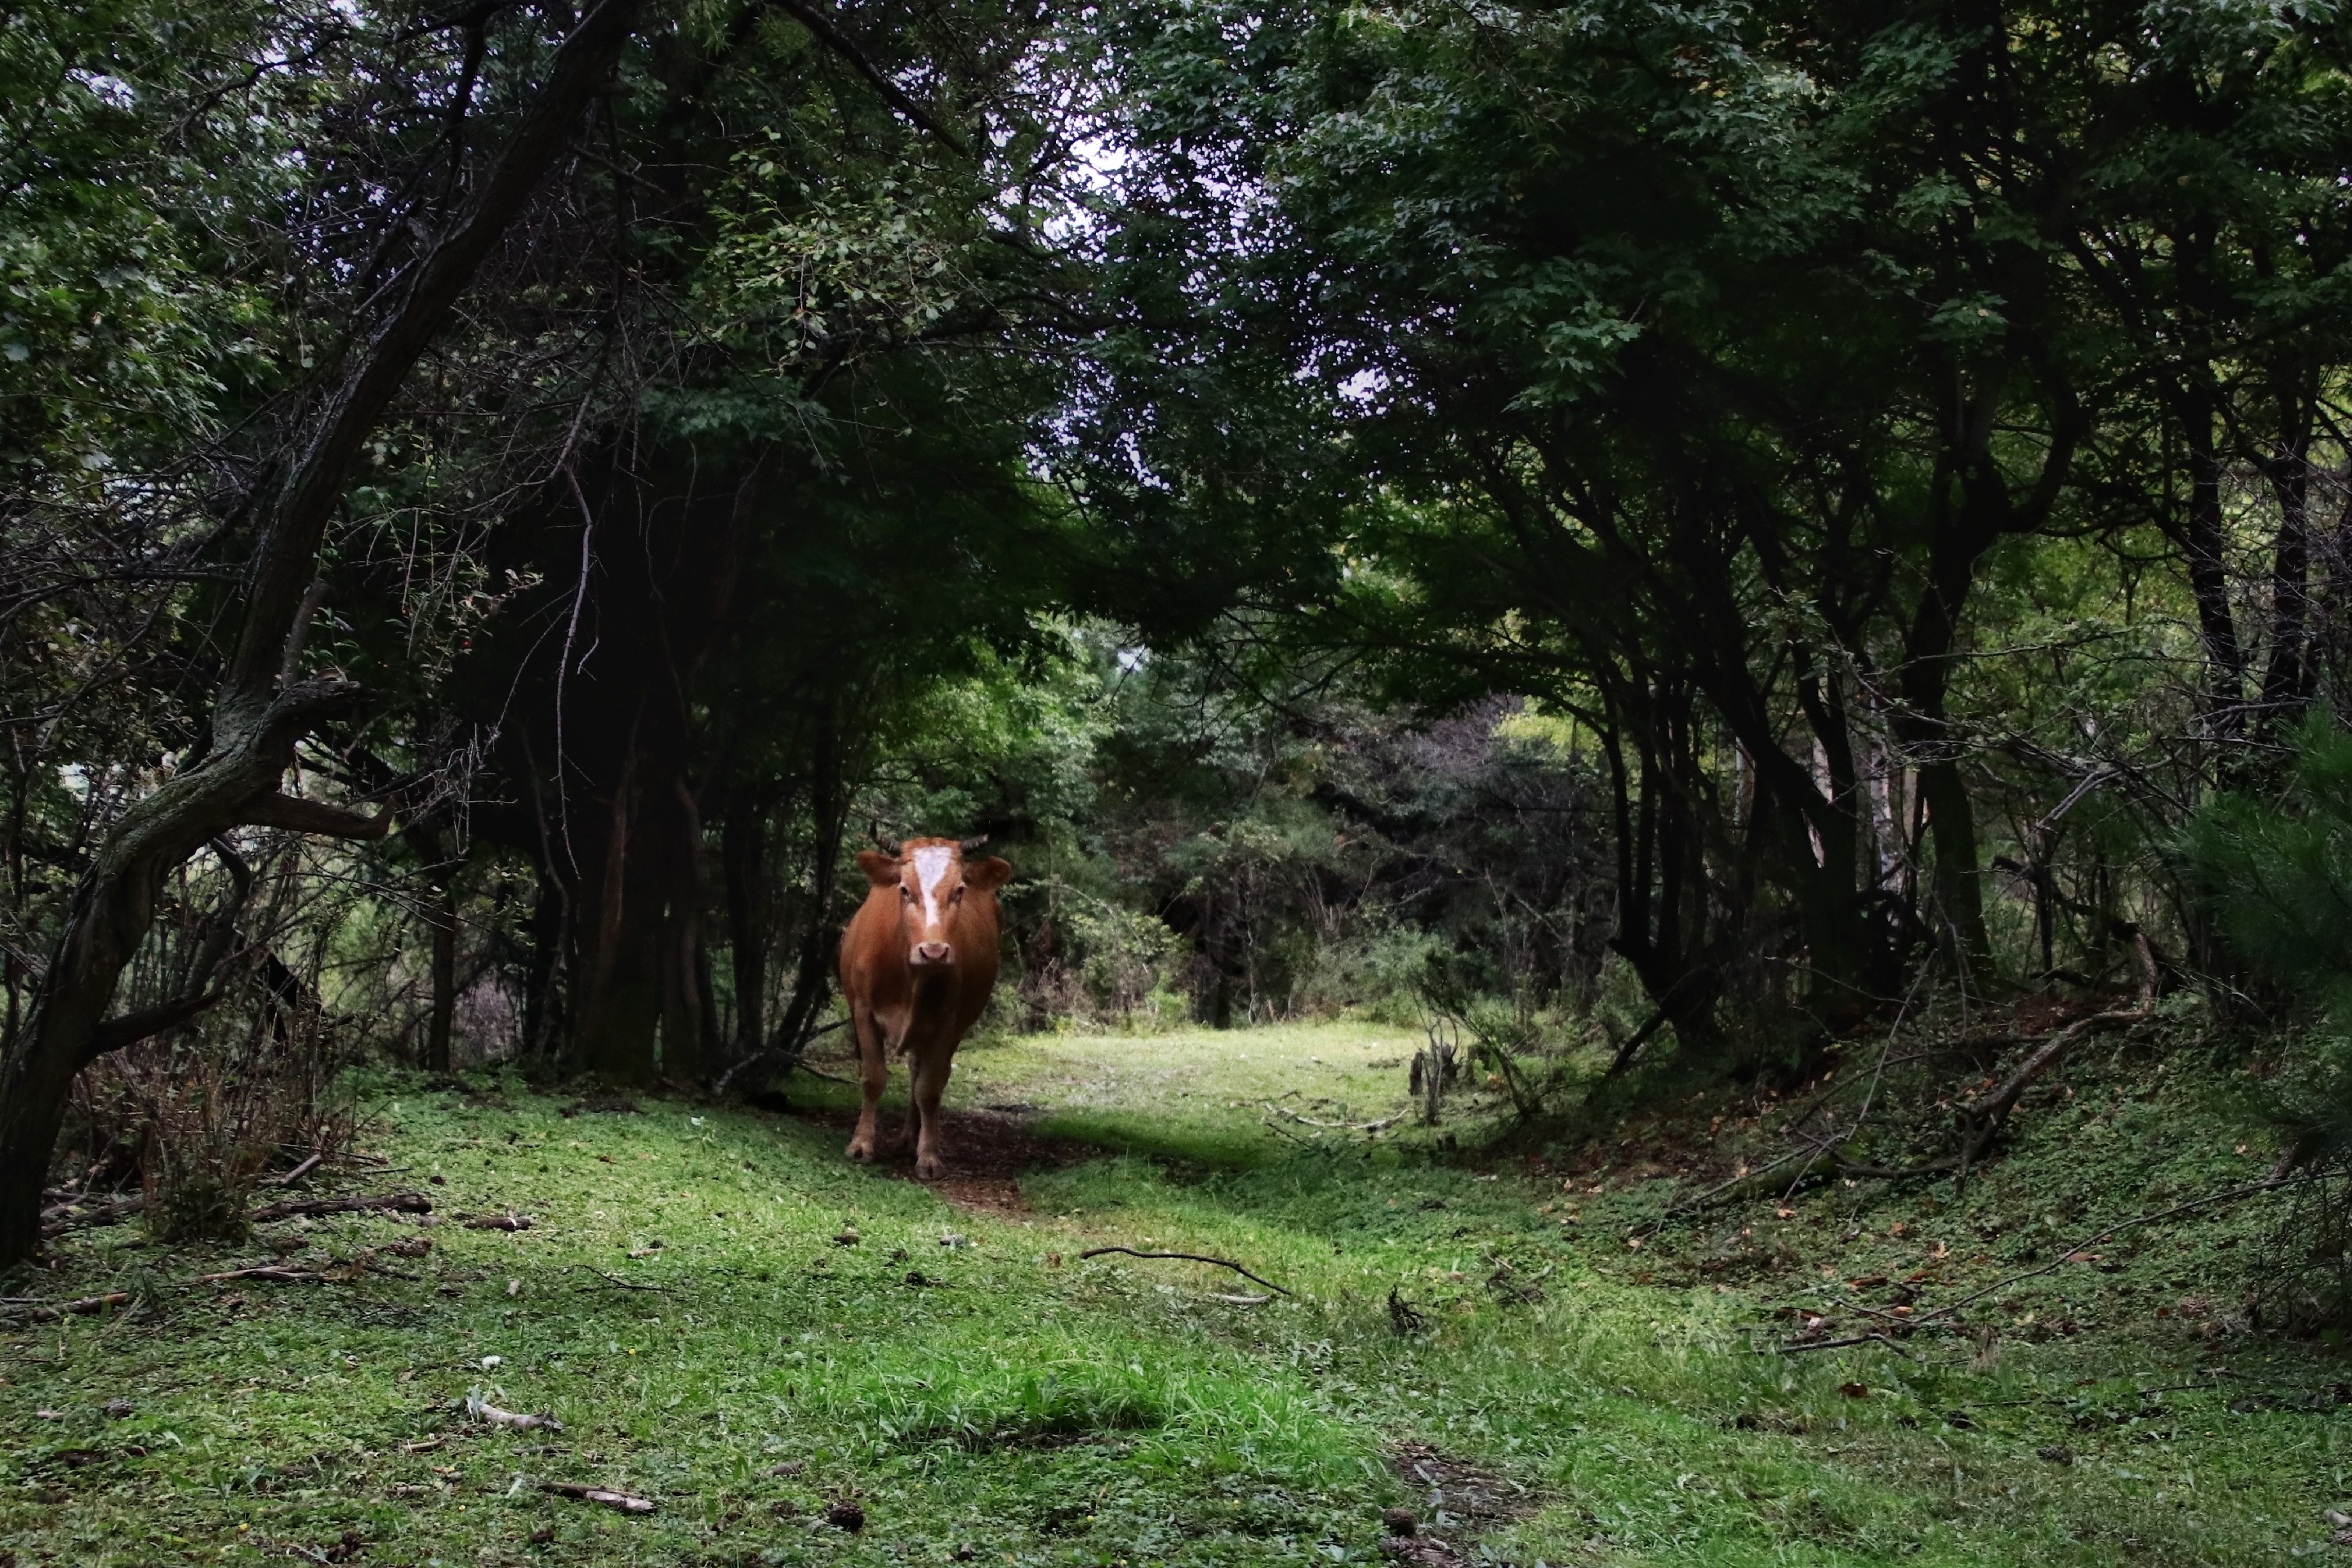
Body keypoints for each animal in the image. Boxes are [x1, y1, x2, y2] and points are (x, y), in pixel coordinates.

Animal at [837, 832, 1011, 1175]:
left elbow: (929, 1089)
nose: (933, 951)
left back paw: (914, 1137)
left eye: (959, 890)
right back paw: (907, 1137)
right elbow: (873, 1078)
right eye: (904, 889)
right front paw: (861, 1145)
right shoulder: (863, 1011)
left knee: (927, 1077)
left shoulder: (947, 1022)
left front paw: (928, 1156)